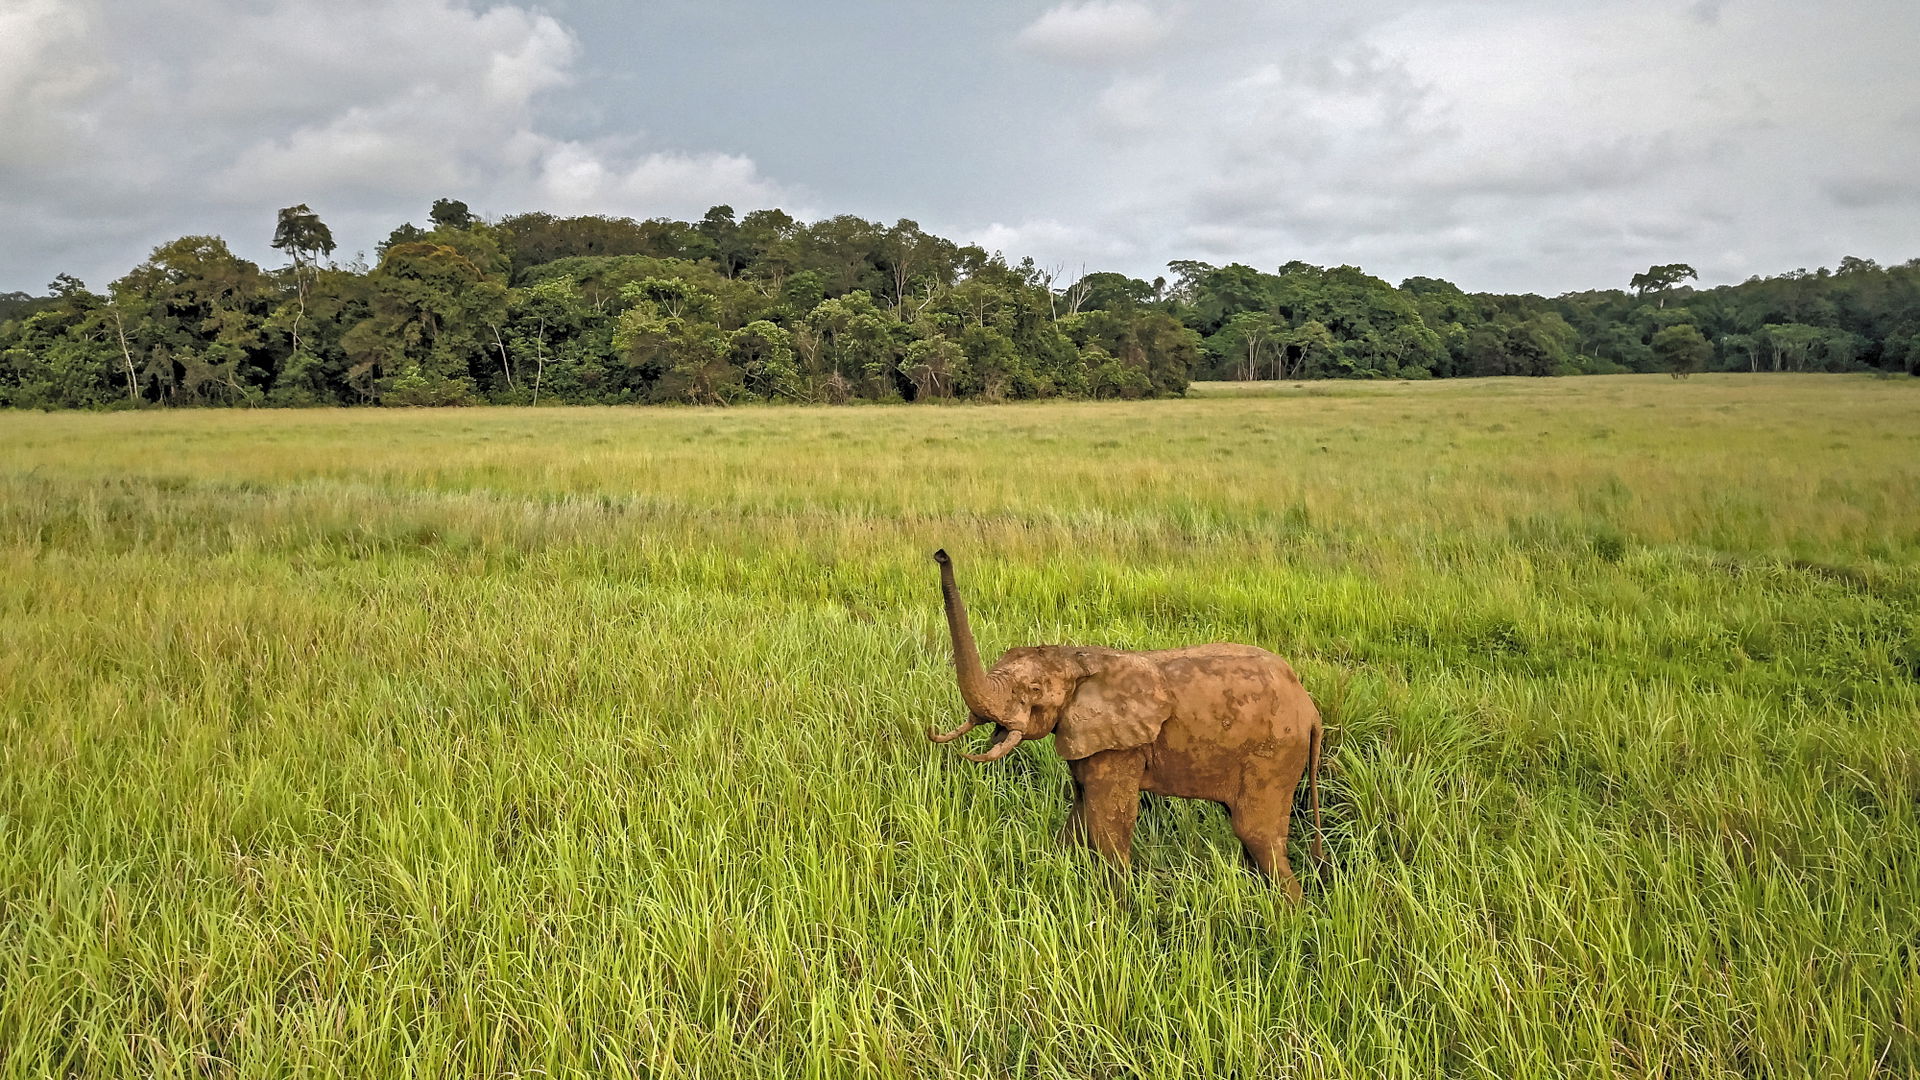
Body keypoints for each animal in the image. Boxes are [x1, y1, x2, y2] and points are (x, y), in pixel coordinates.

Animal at [926, 549, 1324, 897]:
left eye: (1034, 689)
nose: (940, 555)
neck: (1077, 658)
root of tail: (1311, 709)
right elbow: (1080, 814)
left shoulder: (1120, 747)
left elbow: (1107, 824)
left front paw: (1115, 910)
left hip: (1273, 755)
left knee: (1257, 834)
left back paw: (1289, 914)